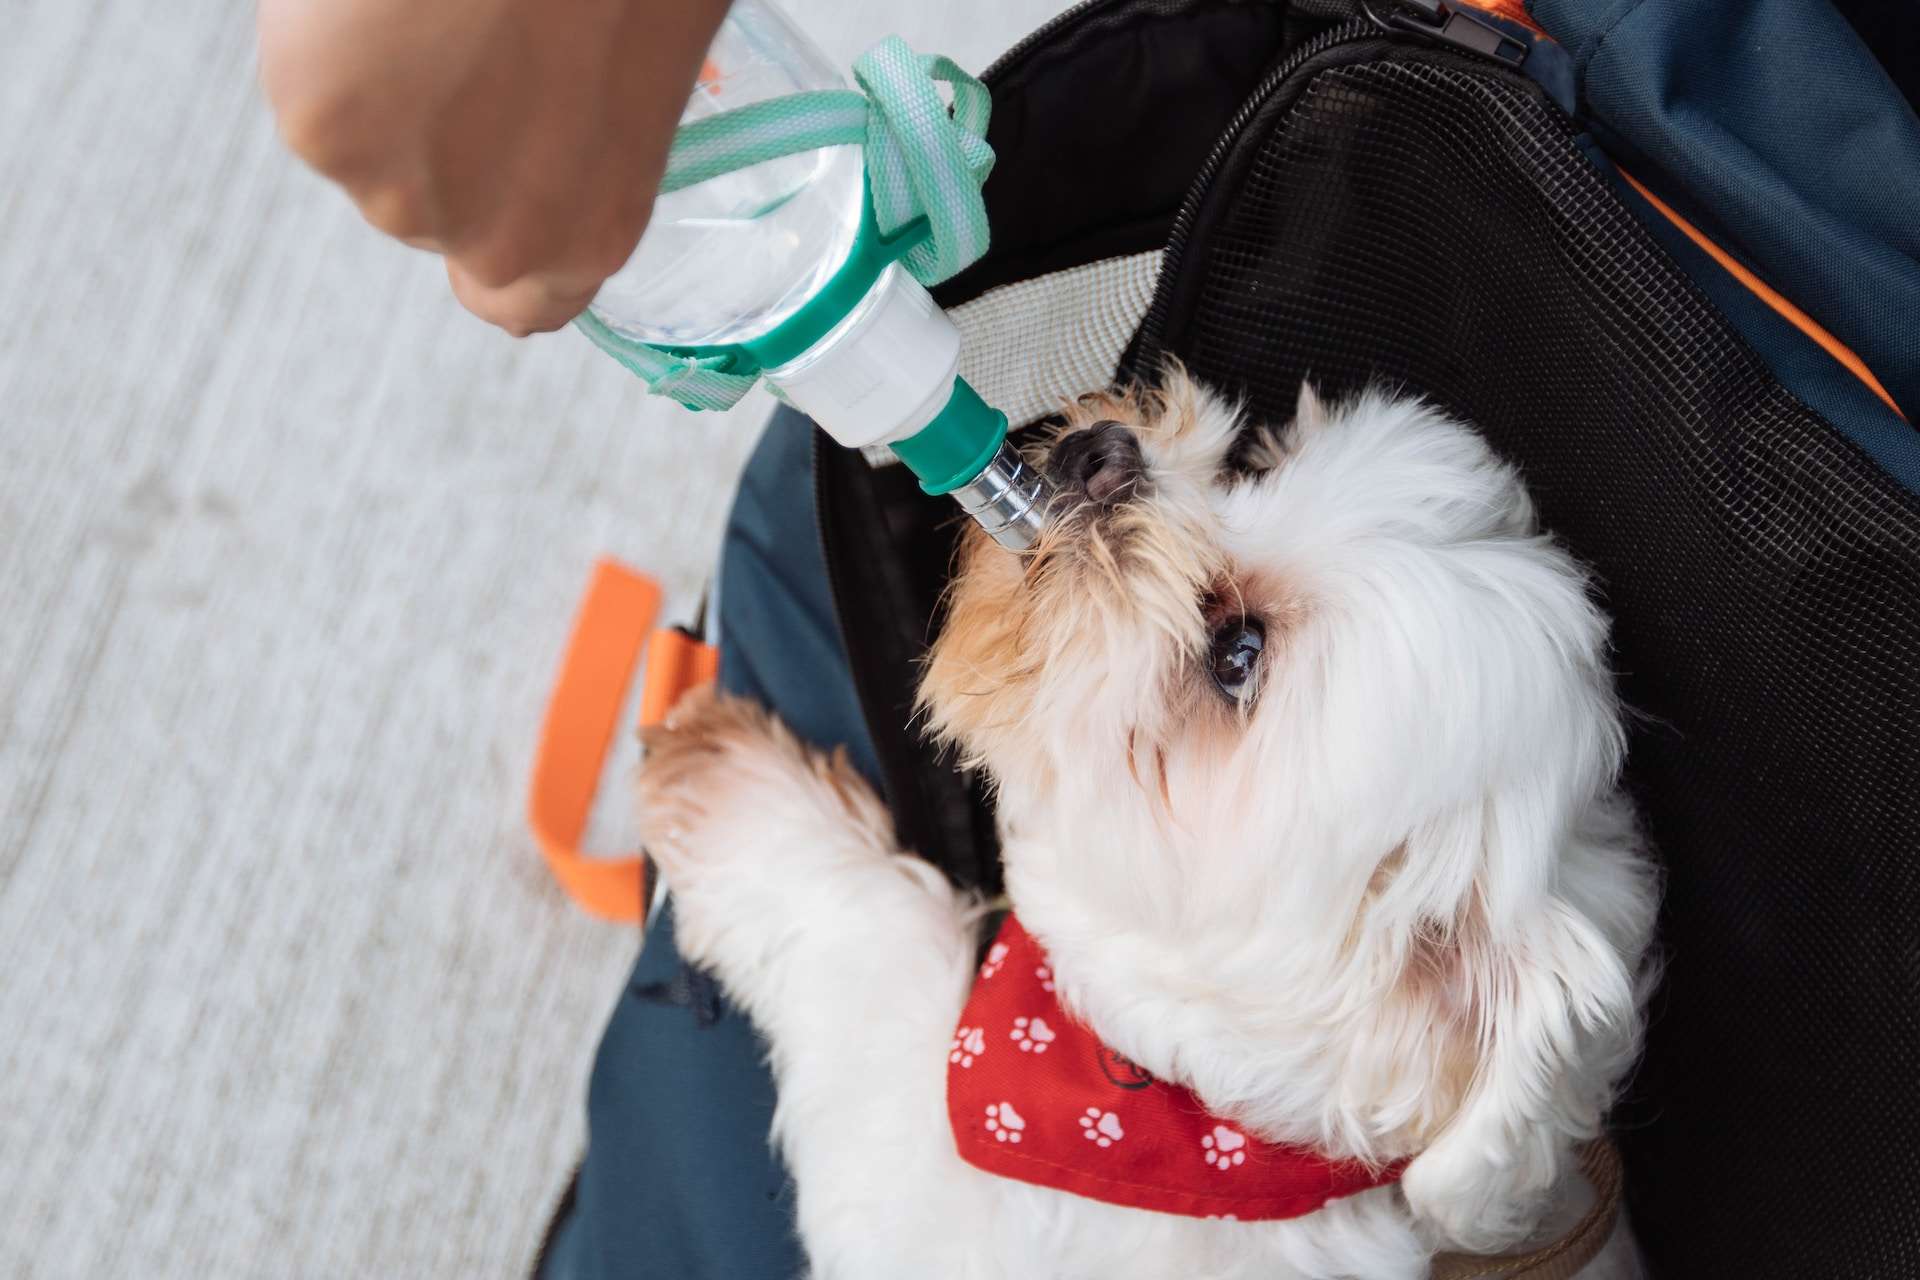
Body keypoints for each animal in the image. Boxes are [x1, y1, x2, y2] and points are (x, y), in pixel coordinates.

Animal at [637, 364, 1658, 1274]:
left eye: (1236, 654)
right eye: (1253, 464)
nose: (1103, 455)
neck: (1164, 1114)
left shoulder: (923, 1201)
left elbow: (873, 951)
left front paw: (731, 782)